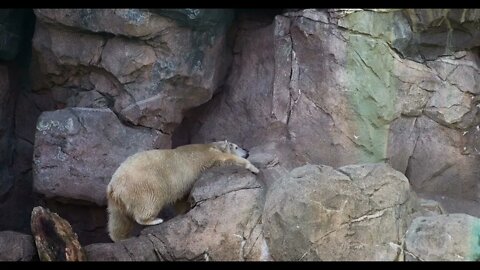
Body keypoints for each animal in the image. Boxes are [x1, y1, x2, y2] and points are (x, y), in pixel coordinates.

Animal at [107, 140, 260, 242]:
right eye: (236, 146)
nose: (247, 151)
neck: (211, 145)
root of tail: (114, 185)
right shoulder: (207, 156)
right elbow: (225, 159)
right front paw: (254, 168)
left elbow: (181, 199)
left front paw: (184, 210)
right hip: (144, 185)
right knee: (149, 202)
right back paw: (154, 220)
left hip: (116, 200)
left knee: (118, 219)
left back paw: (119, 238)